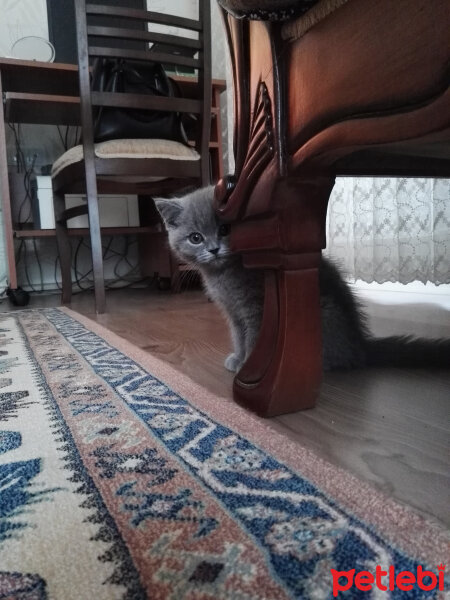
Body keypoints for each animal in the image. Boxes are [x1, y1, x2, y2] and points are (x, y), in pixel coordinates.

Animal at [156, 188, 450, 372]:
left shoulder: (257, 308)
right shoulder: (234, 313)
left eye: (226, 229)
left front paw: (248, 364)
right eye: (195, 238)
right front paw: (238, 358)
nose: (214, 249)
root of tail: (361, 345)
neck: (225, 274)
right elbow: (239, 336)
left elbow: (253, 338)